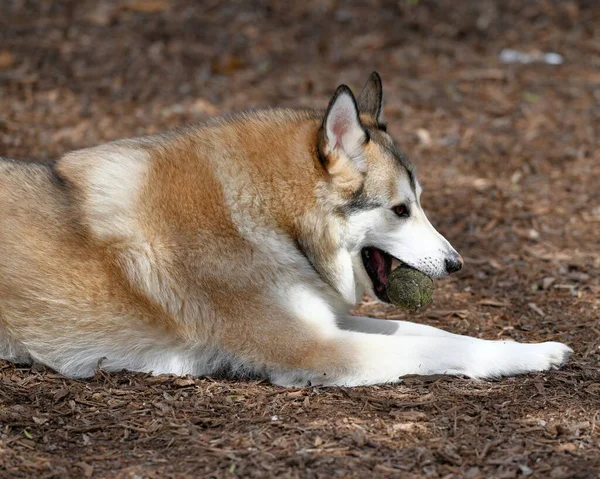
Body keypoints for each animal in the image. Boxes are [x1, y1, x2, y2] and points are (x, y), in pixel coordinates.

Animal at [0, 73, 572, 386]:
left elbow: (437, 333)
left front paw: (526, 344)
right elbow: (440, 350)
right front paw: (524, 357)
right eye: (400, 210)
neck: (271, 218)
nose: (456, 264)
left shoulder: (327, 323)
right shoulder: (316, 351)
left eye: (419, 204)